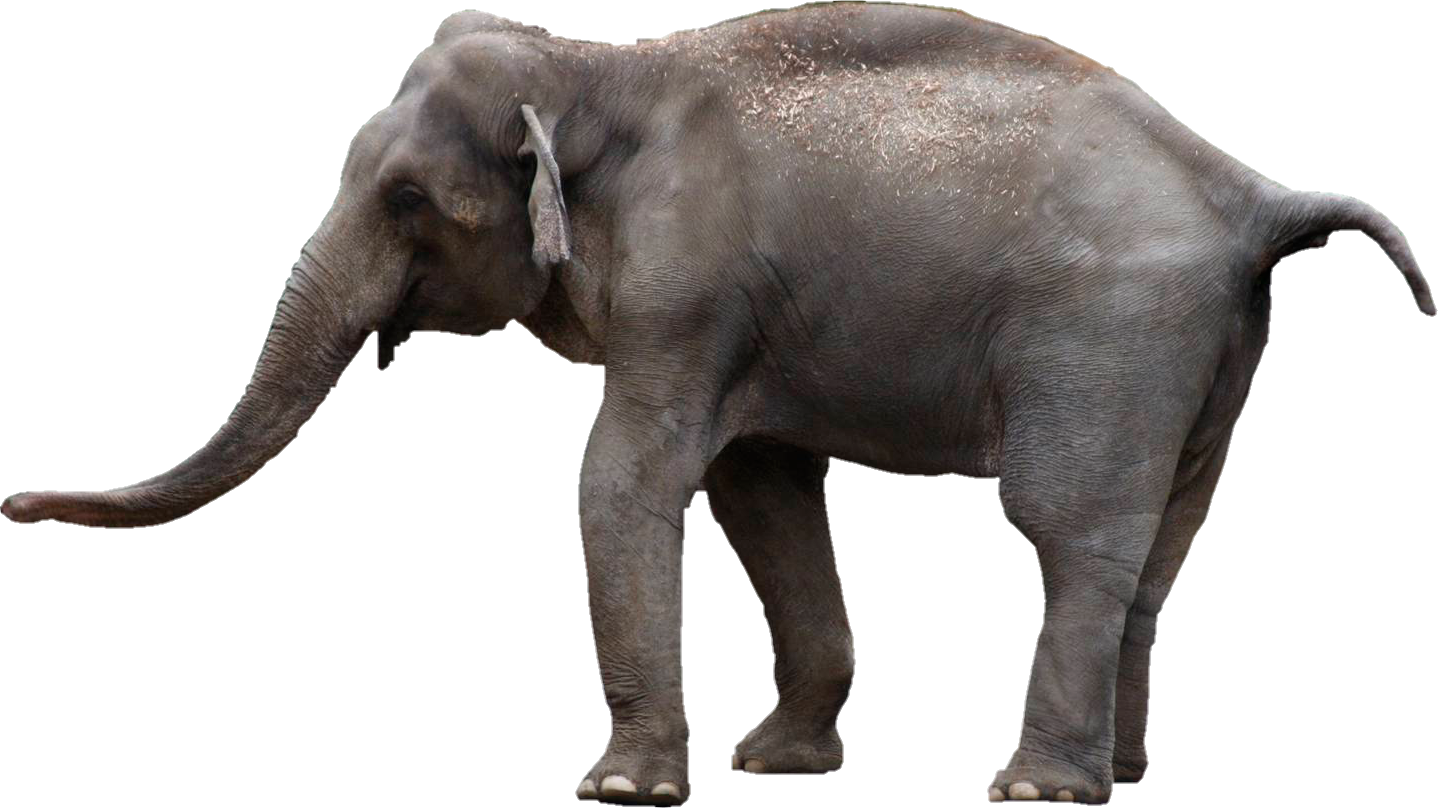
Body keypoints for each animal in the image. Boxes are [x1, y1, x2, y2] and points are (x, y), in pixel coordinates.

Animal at [3, 3, 1431, 806]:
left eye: (406, 200)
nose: (14, 509)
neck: (593, 68)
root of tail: (1249, 193)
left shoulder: (683, 286)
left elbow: (622, 482)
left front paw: (623, 790)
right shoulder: (746, 317)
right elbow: (761, 494)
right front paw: (772, 766)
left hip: (1111, 333)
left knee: (1066, 527)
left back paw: (1035, 793)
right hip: (1205, 354)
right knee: (1158, 552)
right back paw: (1118, 776)